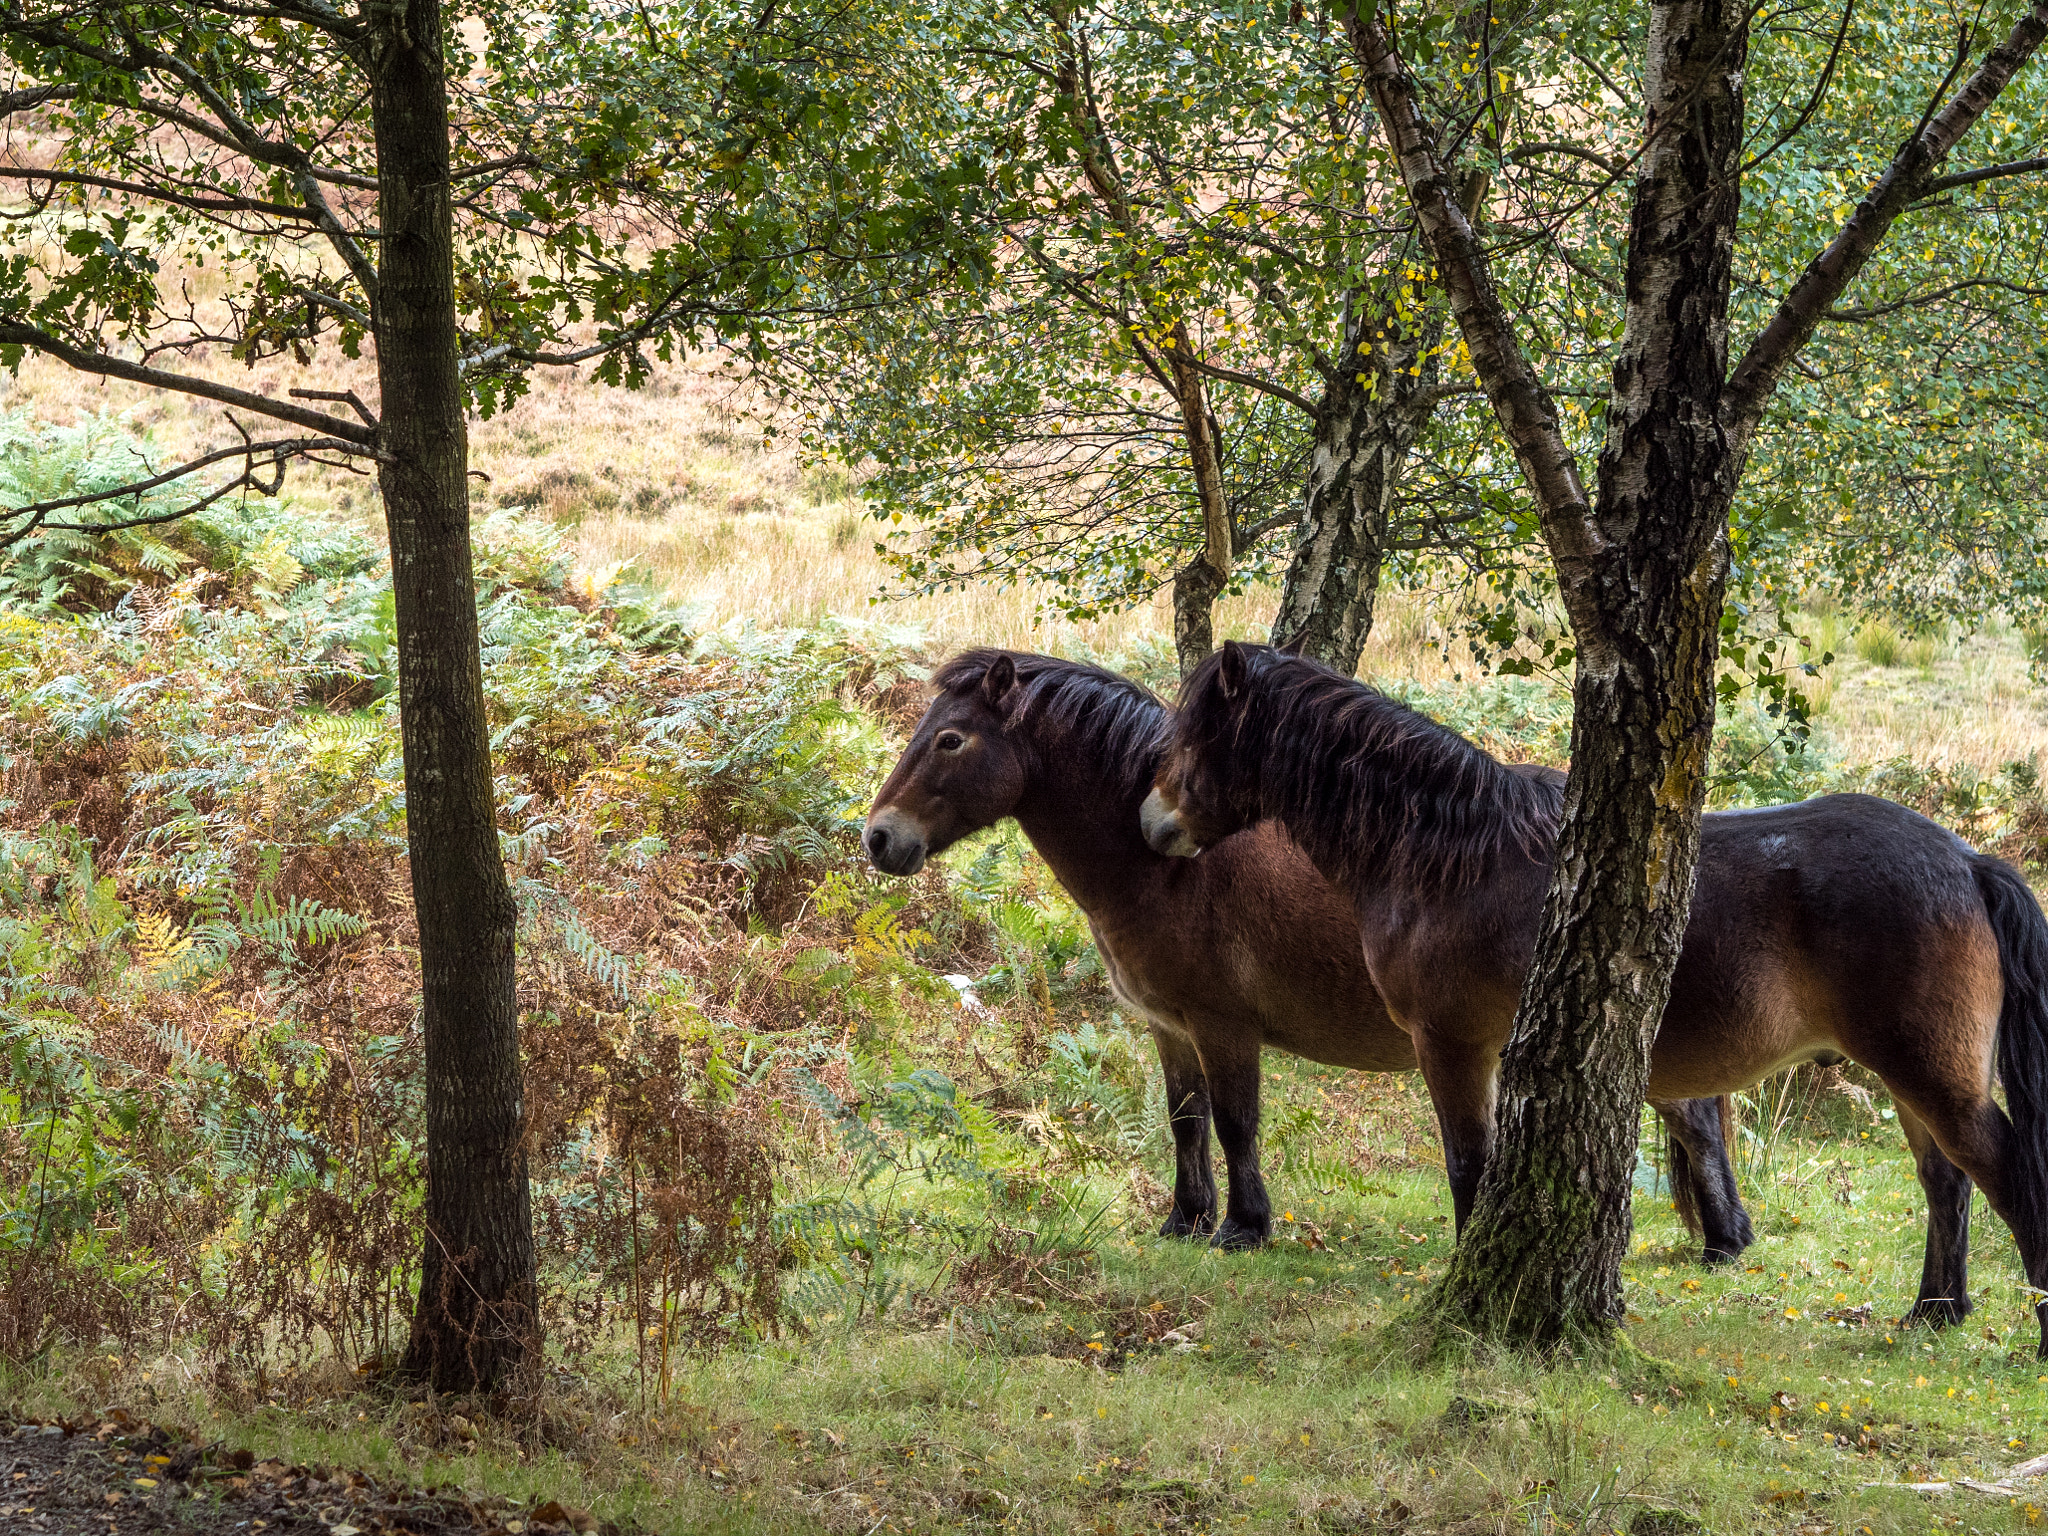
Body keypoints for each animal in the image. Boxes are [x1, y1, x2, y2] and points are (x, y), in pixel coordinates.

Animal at [856, 651, 1753, 1261]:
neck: (1166, 865)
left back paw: (1722, 1243)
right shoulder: (1169, 1028)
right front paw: (1184, 1220)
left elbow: (1235, 1122)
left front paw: (1243, 1228)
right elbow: (1185, 1122)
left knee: (1695, 1123)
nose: (878, 839)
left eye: (949, 740)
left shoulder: (1222, 1027)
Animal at [1146, 643, 2048, 1351]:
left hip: (1927, 1072)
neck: (1449, 855)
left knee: (2004, 1173)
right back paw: (1935, 1312)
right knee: (1946, 1183)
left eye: (1195, 733)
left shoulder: (1452, 1047)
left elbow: (1468, 1169)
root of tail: (1967, 861)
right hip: (1916, 1077)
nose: (1154, 826)